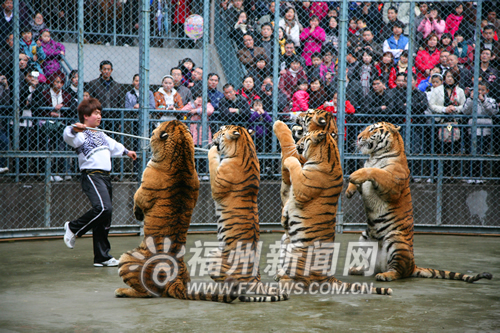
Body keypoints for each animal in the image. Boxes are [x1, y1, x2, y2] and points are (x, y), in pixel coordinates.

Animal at [114, 120, 238, 302]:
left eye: (154, 131)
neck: (181, 153)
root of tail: (176, 279)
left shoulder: (144, 189)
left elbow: (138, 200)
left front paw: (137, 214)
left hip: (127, 259)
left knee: (147, 293)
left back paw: (122, 291)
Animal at [207, 124, 288, 300]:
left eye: (221, 131)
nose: (213, 135)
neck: (247, 148)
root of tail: (255, 279)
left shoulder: (217, 184)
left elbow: (212, 162)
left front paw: (212, 150)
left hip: (214, 254)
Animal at [274, 121, 390, 296]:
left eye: (305, 137)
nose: (298, 141)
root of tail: (327, 278)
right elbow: (287, 202)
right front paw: (283, 218)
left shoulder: (301, 188)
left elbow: (293, 162)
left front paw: (290, 157)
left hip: (297, 255)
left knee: (300, 282)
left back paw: (282, 281)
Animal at [346, 122, 490, 282]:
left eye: (372, 129)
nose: (358, 137)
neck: (374, 156)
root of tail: (413, 265)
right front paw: (349, 189)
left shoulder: (391, 184)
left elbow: (375, 171)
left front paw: (355, 175)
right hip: (364, 239)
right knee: (372, 268)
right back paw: (357, 269)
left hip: (396, 240)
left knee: (398, 272)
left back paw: (385, 275)